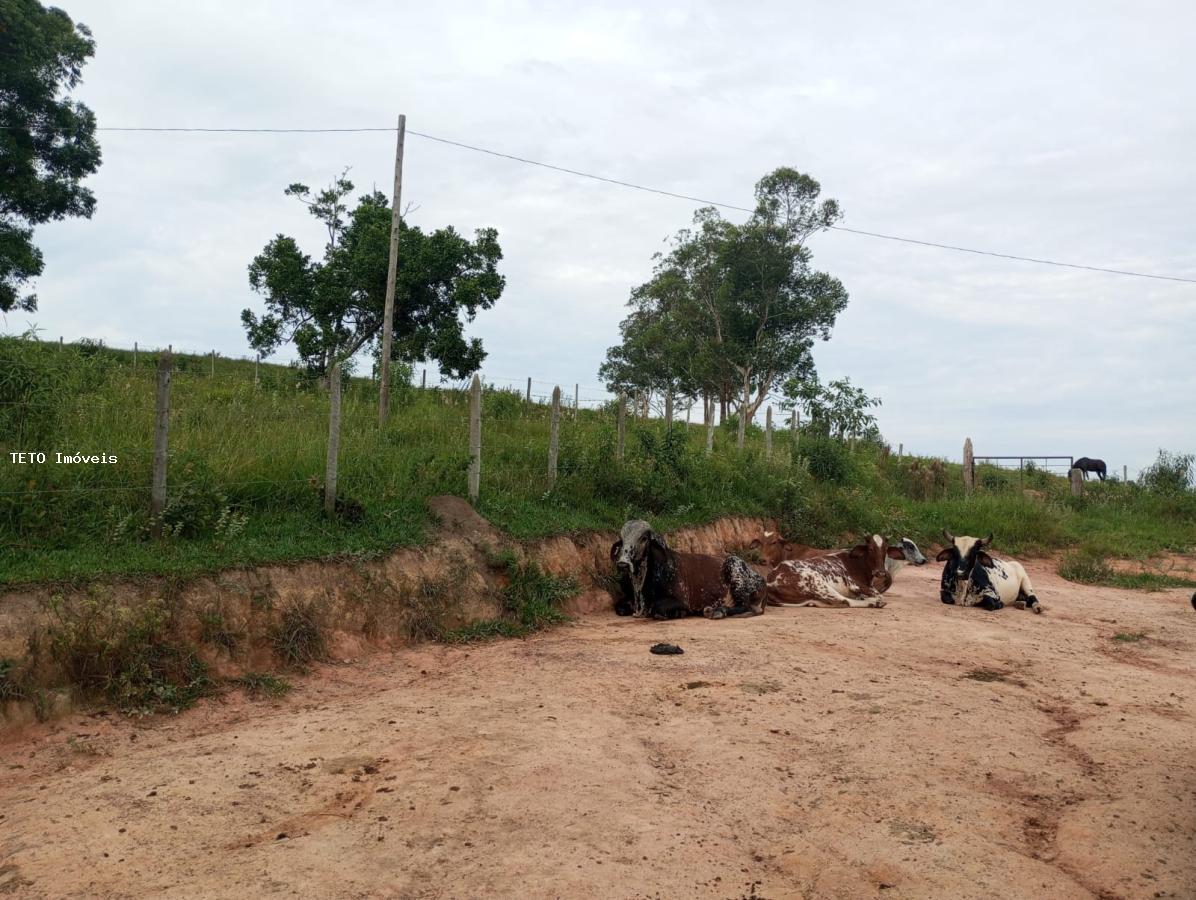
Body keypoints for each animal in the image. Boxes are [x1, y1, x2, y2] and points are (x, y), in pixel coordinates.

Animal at [607, 518, 765, 616]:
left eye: (644, 538)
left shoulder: (681, 600)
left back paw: (717, 611)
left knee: (744, 606)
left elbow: (657, 607)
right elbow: (619, 606)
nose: (623, 564)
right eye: (622, 539)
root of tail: (759, 577)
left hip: (735, 572)